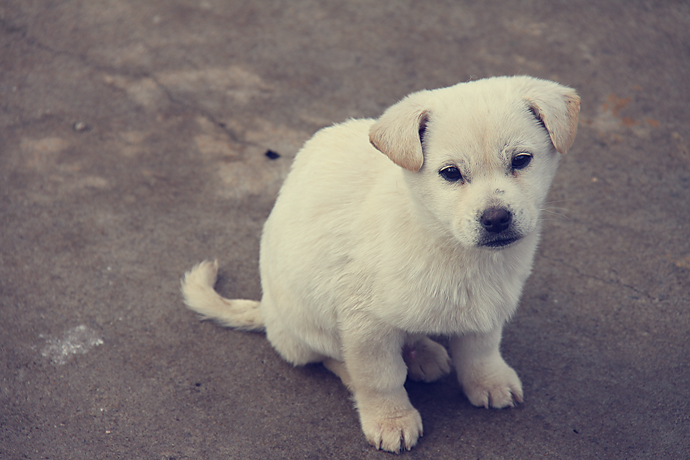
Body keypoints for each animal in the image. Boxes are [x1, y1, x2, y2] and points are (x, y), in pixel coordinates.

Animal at [180, 75, 576, 452]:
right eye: (450, 173)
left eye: (521, 160)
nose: (496, 219)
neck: (442, 238)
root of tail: (266, 310)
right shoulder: (366, 326)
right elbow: (380, 379)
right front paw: (391, 420)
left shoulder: (489, 305)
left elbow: (481, 349)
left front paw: (489, 381)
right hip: (304, 332)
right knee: (329, 357)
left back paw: (423, 352)